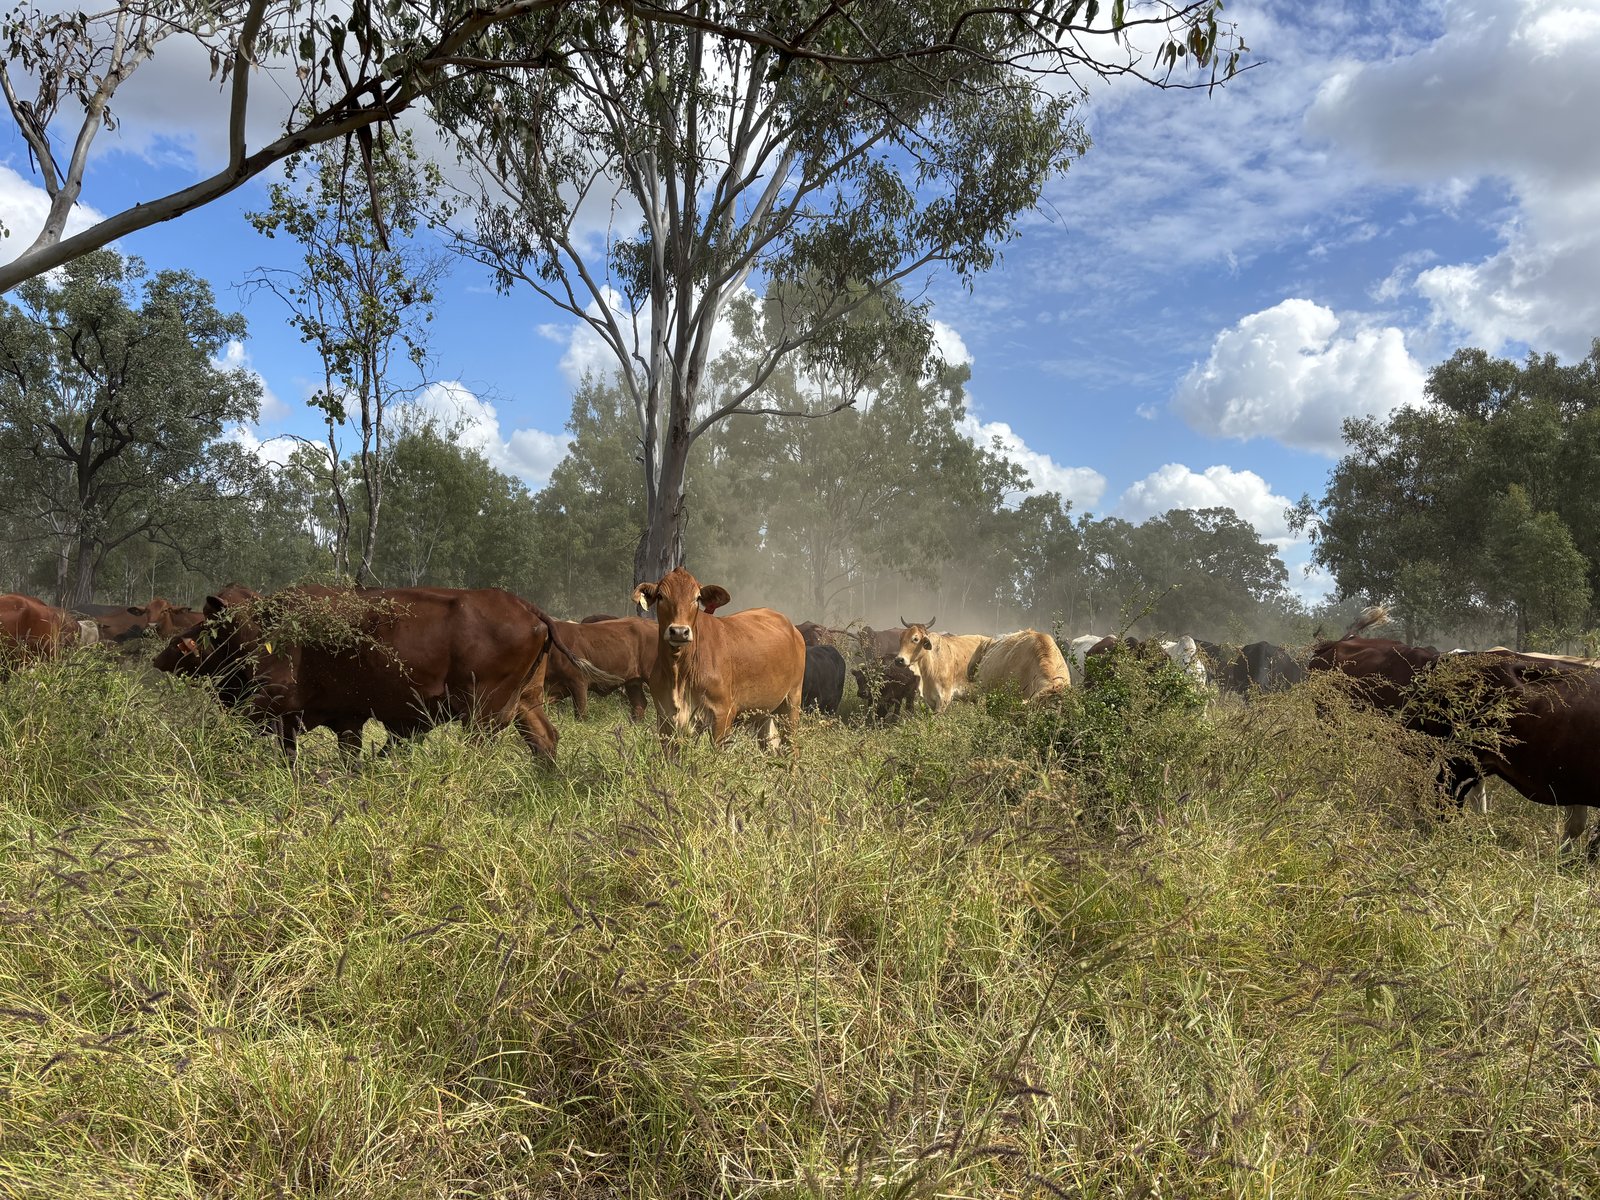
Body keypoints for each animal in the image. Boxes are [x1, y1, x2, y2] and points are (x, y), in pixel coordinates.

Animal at [154, 584, 608, 762]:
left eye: (207, 627)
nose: (161, 658)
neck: (263, 630)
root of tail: (527, 608)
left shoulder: (274, 706)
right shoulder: (344, 720)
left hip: (483, 715)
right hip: (526, 704)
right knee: (545, 741)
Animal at [631, 567, 805, 752]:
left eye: (697, 598)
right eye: (660, 596)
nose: (679, 631)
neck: (680, 673)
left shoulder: (723, 715)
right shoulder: (665, 719)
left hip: (792, 703)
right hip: (764, 712)